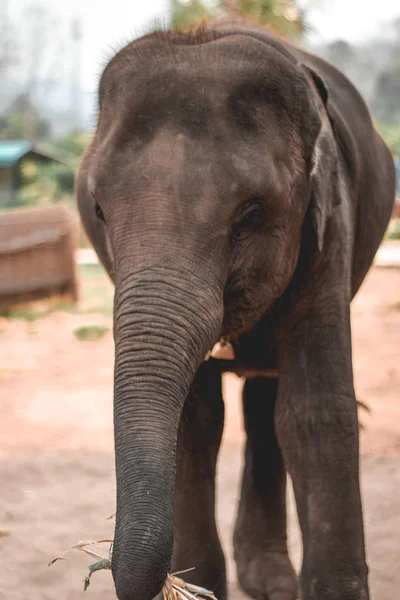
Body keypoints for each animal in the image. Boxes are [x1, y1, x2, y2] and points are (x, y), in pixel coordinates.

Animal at [76, 16, 396, 600]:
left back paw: (271, 581)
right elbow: (195, 421)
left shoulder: (330, 229)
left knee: (272, 402)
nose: (102, 568)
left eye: (250, 214)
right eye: (98, 210)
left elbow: (316, 413)